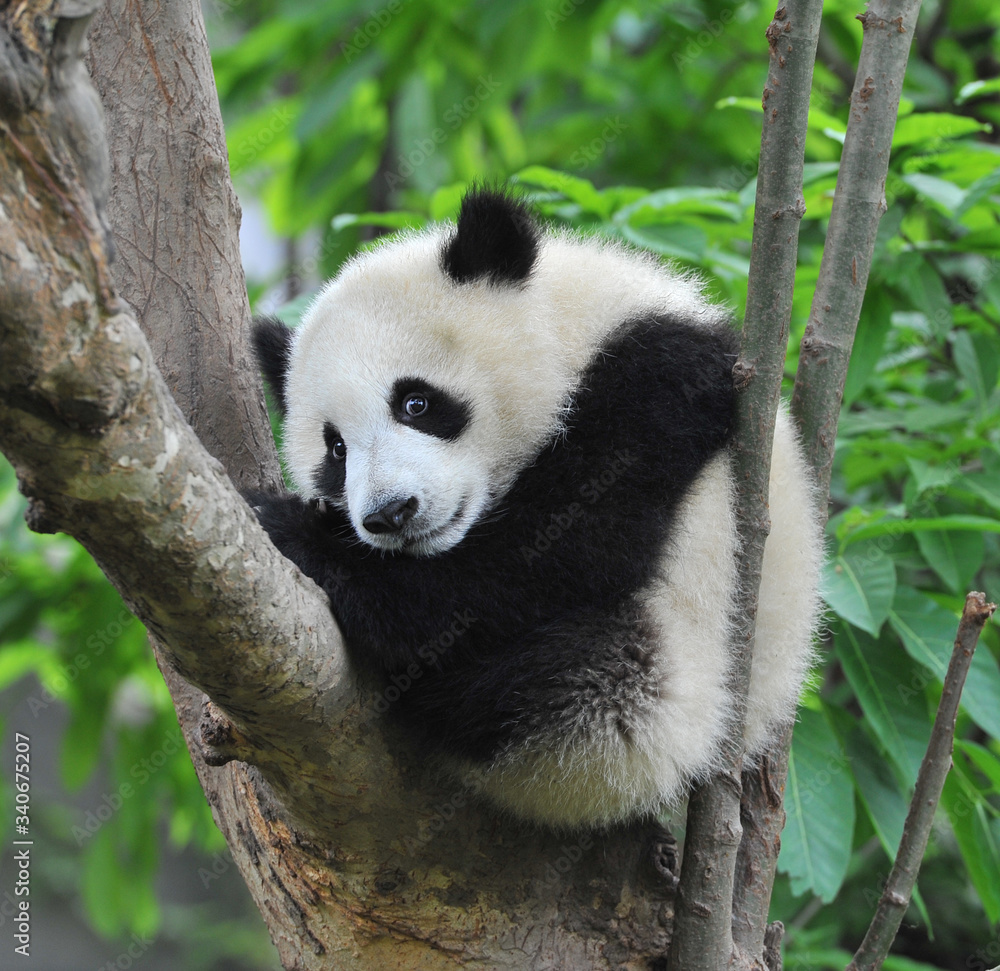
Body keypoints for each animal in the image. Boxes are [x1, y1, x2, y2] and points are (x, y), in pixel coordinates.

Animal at [248, 187, 823, 830]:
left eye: (416, 402)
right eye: (336, 450)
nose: (391, 514)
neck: (568, 326)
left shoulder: (663, 376)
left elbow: (551, 557)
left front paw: (293, 529)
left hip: (667, 687)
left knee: (576, 672)